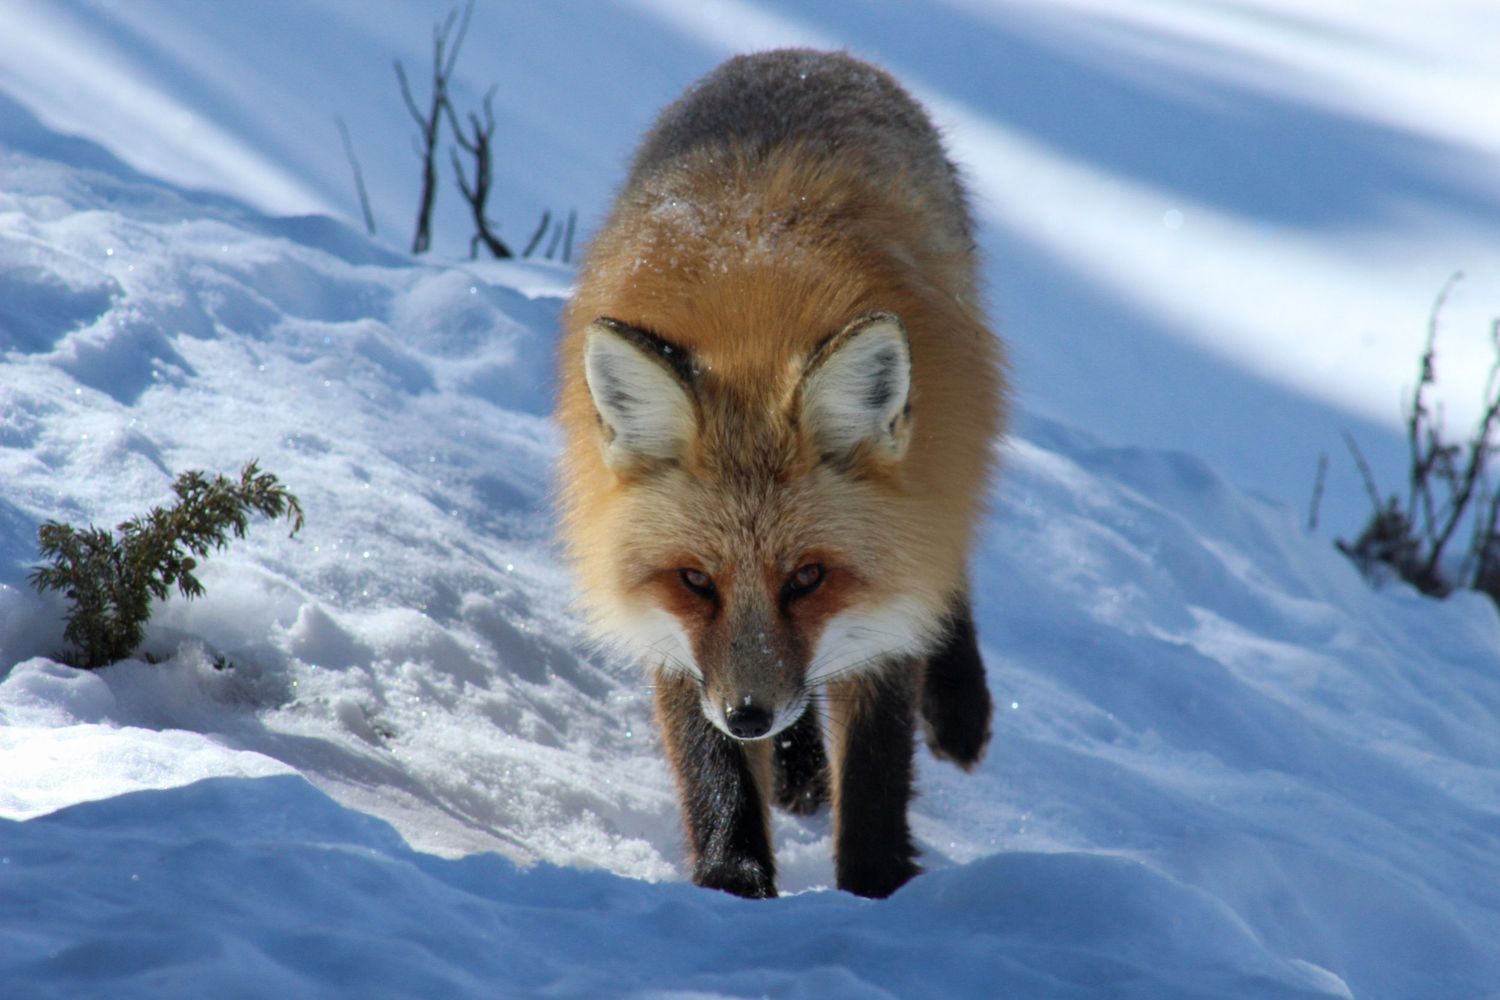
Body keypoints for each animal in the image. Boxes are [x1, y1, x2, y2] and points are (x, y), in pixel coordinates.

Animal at [557, 49, 1006, 899]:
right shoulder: (671, 628)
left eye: (808, 578)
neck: (755, 332)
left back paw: (958, 705)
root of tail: (804, 57)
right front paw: (733, 879)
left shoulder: (886, 596)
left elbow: (875, 771)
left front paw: (874, 889)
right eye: (695, 581)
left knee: (950, 562)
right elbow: (712, 768)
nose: (750, 715)